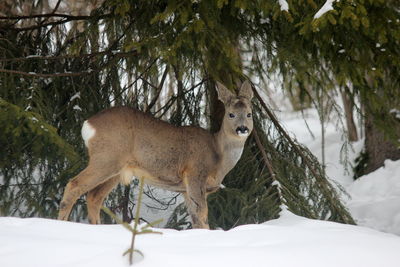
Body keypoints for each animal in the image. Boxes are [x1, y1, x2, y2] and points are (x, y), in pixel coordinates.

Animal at [57, 80, 253, 229]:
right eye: (231, 114)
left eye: (250, 114)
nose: (242, 129)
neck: (218, 155)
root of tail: (88, 125)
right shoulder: (195, 174)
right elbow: (203, 215)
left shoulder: (185, 189)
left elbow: (196, 219)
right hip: (106, 158)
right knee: (74, 185)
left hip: (116, 168)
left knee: (94, 196)